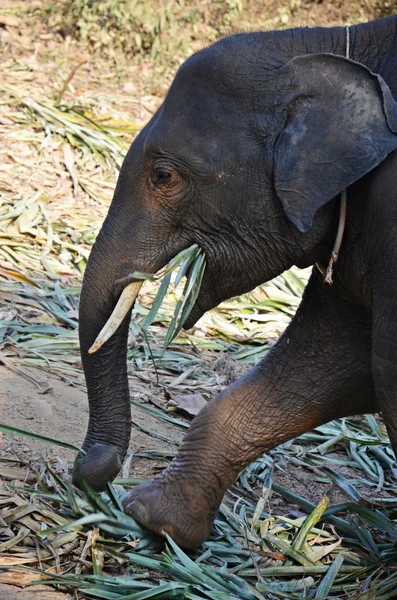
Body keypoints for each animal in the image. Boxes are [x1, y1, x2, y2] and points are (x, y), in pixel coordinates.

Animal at [72, 14, 396, 548]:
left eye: (163, 176)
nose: (92, 470)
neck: (340, 43)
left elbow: (378, 374)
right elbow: (331, 360)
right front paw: (154, 518)